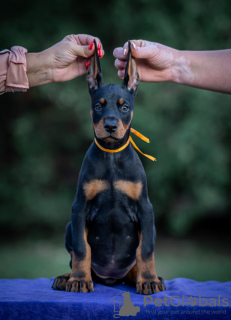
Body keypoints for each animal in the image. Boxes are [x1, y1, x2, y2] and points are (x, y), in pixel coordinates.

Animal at [51, 40, 165, 296]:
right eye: (98, 106)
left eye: (124, 107)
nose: (111, 126)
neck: (112, 156)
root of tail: (111, 278)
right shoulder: (80, 208)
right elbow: (82, 249)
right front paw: (79, 279)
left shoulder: (145, 209)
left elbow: (146, 250)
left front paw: (149, 280)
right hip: (68, 227)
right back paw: (67, 277)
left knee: (135, 264)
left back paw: (147, 278)